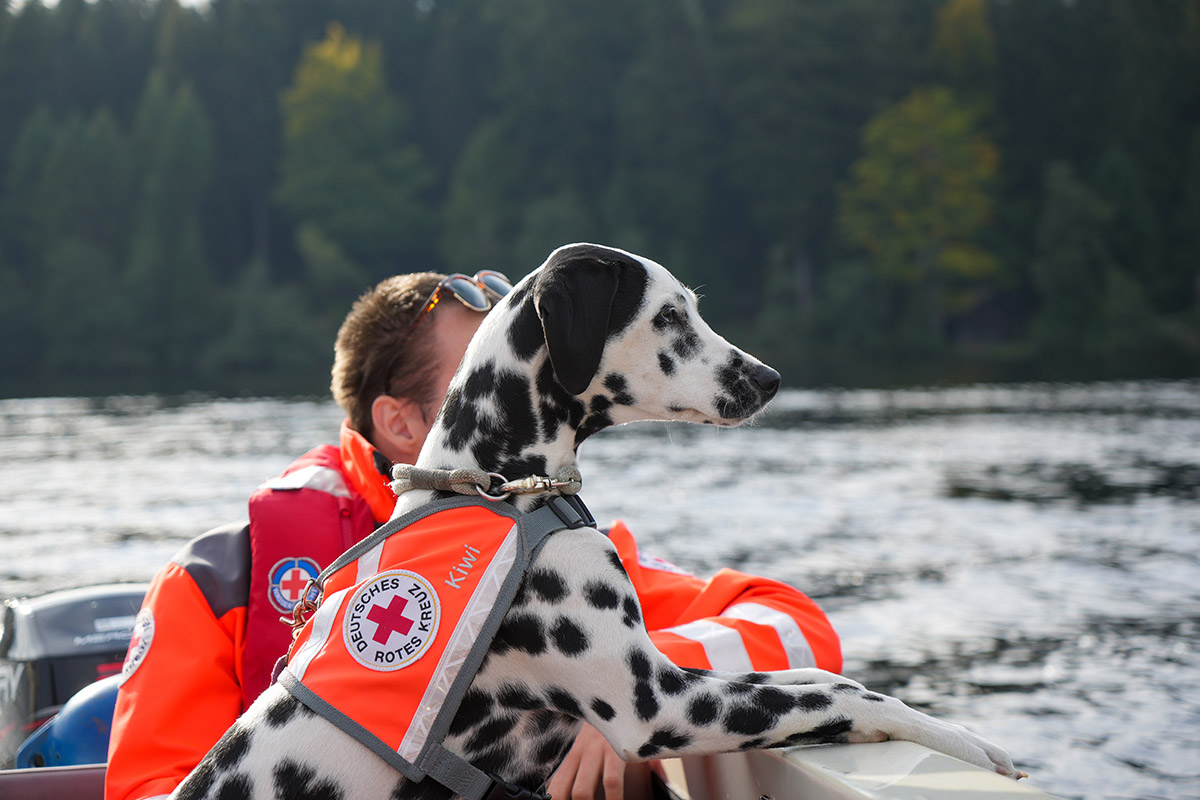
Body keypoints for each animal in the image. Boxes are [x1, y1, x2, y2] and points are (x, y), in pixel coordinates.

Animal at [174, 244, 1017, 800]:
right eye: (669, 316)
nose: (770, 378)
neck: (505, 486)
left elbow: (823, 679)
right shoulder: (662, 705)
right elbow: (847, 695)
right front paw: (972, 744)